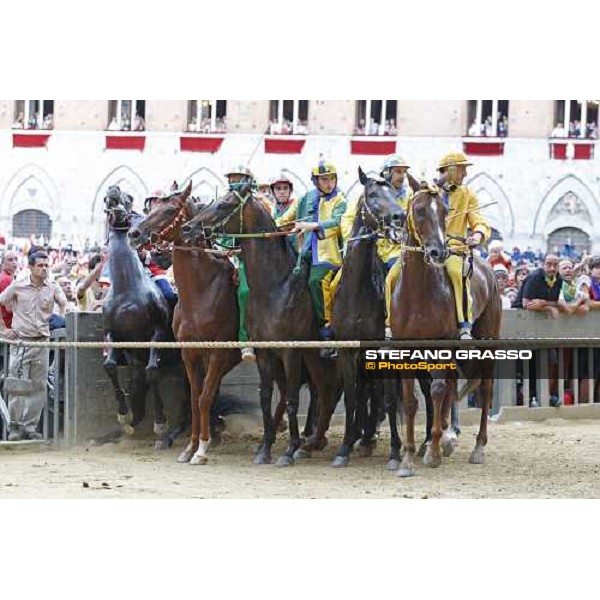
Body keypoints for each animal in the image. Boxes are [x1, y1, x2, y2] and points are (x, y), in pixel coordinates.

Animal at [102, 185, 188, 448]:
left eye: (128, 198)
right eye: (107, 198)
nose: (113, 190)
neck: (128, 291)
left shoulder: (157, 332)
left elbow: (152, 371)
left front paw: (160, 422)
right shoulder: (113, 334)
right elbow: (110, 365)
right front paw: (124, 415)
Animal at [180, 180, 340, 466]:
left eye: (226, 204)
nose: (188, 228)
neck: (274, 288)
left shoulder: (290, 352)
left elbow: (291, 399)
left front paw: (288, 450)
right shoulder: (265, 351)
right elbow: (265, 397)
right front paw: (265, 449)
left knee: (329, 391)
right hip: (313, 357)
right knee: (324, 391)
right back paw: (313, 442)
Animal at [390, 180, 502, 476]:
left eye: (443, 211)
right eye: (418, 210)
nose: (438, 252)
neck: (418, 293)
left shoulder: (442, 343)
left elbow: (438, 390)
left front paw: (434, 452)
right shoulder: (406, 350)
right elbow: (410, 401)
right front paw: (408, 458)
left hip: (487, 341)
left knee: (485, 389)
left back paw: (476, 447)